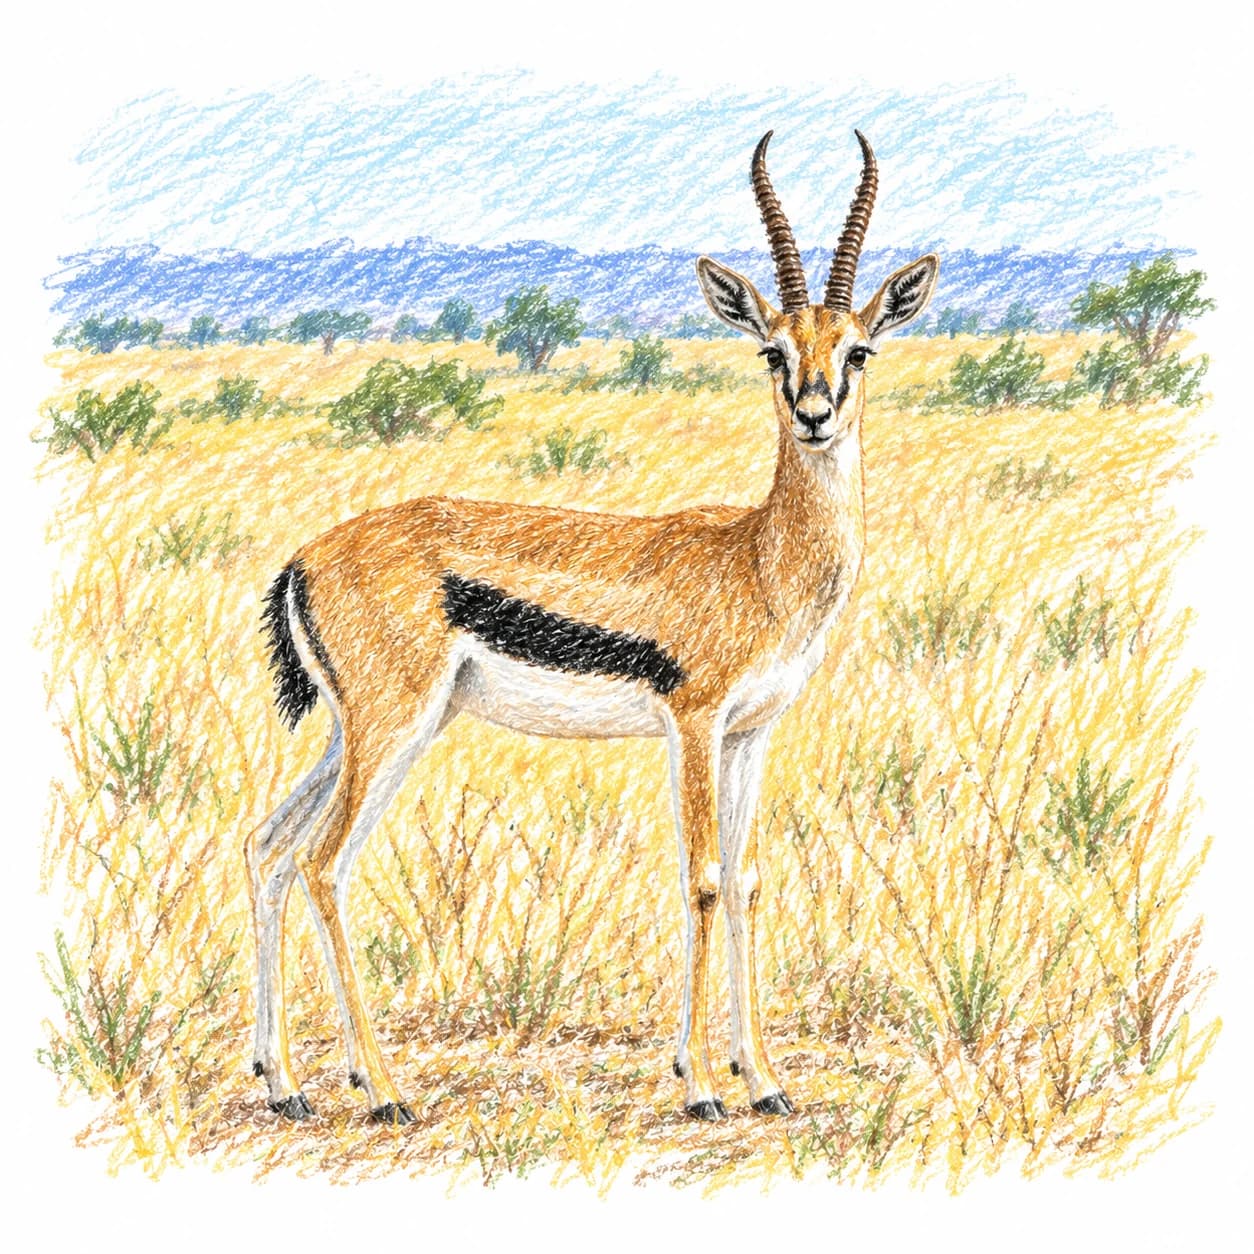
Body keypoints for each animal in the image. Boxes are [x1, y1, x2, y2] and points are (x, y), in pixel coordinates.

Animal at [245, 130, 938, 1124]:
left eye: (861, 351)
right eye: (773, 352)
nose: (814, 415)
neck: (757, 559)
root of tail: (304, 558)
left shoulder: (751, 734)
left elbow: (748, 882)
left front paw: (766, 1080)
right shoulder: (694, 723)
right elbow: (703, 880)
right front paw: (701, 1086)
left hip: (365, 729)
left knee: (269, 847)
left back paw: (284, 1084)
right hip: (391, 728)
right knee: (323, 862)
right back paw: (379, 1089)